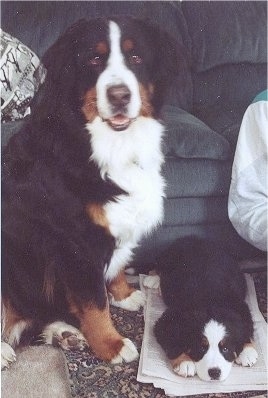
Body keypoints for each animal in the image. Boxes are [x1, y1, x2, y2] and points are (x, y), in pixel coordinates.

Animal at [1, 16, 181, 370]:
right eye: (95, 59)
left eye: (136, 57)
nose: (120, 95)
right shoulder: (76, 243)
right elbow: (94, 303)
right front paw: (112, 345)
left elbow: (118, 265)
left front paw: (124, 294)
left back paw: (64, 334)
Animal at [143, 236, 258, 382]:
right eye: (201, 348)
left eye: (225, 348)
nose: (214, 373)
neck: (210, 301)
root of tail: (195, 238)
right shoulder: (167, 321)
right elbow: (172, 341)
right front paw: (184, 363)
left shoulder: (241, 308)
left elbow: (246, 327)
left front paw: (247, 351)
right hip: (167, 256)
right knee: (158, 267)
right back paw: (153, 280)